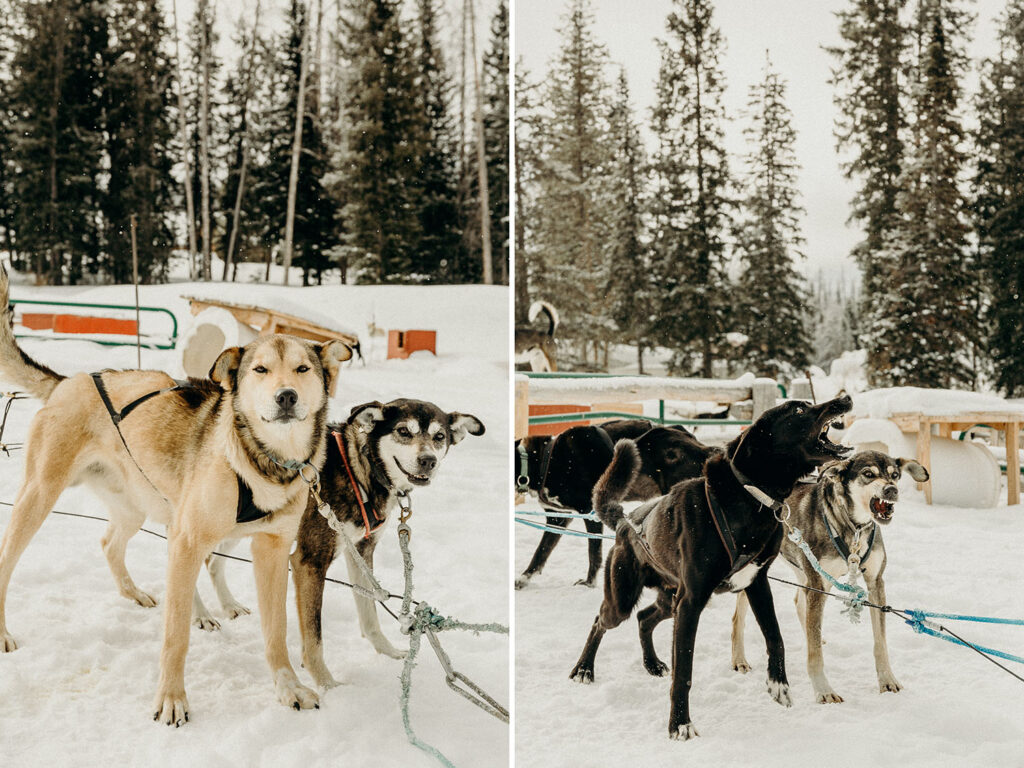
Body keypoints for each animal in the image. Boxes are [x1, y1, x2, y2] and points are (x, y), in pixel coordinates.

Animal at [0, 272, 352, 729]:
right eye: (260, 370)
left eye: (302, 368)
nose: (286, 396)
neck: (265, 461)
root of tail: (68, 381)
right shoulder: (189, 540)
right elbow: (175, 636)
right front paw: (171, 699)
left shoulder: (272, 551)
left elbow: (277, 633)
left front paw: (287, 687)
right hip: (39, 497)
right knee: (7, 561)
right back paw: (4, 631)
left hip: (138, 507)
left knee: (109, 543)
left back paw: (135, 593)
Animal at [286, 399, 481, 688]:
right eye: (403, 431)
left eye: (439, 436)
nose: (428, 460)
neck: (357, 471)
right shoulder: (309, 562)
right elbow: (314, 638)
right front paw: (328, 687)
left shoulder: (361, 550)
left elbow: (370, 611)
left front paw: (388, 653)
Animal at [729, 448, 929, 708]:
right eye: (868, 474)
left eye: (895, 475)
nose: (891, 490)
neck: (853, 528)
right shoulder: (818, 584)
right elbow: (815, 654)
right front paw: (823, 690)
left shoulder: (875, 583)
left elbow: (880, 642)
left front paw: (887, 679)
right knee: (739, 617)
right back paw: (739, 659)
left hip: (803, 571)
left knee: (800, 603)